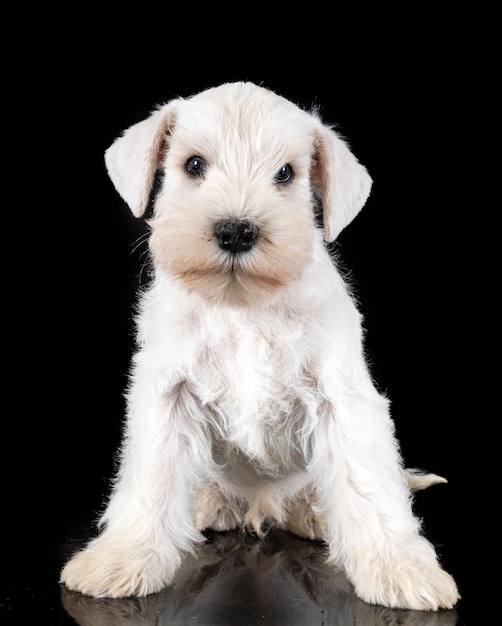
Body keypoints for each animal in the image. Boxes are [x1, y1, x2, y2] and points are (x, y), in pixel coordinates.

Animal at [58, 79, 458, 608]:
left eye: (286, 173)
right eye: (193, 165)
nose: (235, 230)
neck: (242, 305)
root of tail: (261, 506)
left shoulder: (342, 396)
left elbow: (369, 480)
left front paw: (402, 569)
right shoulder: (168, 394)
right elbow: (150, 477)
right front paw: (121, 558)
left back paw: (314, 514)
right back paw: (210, 503)